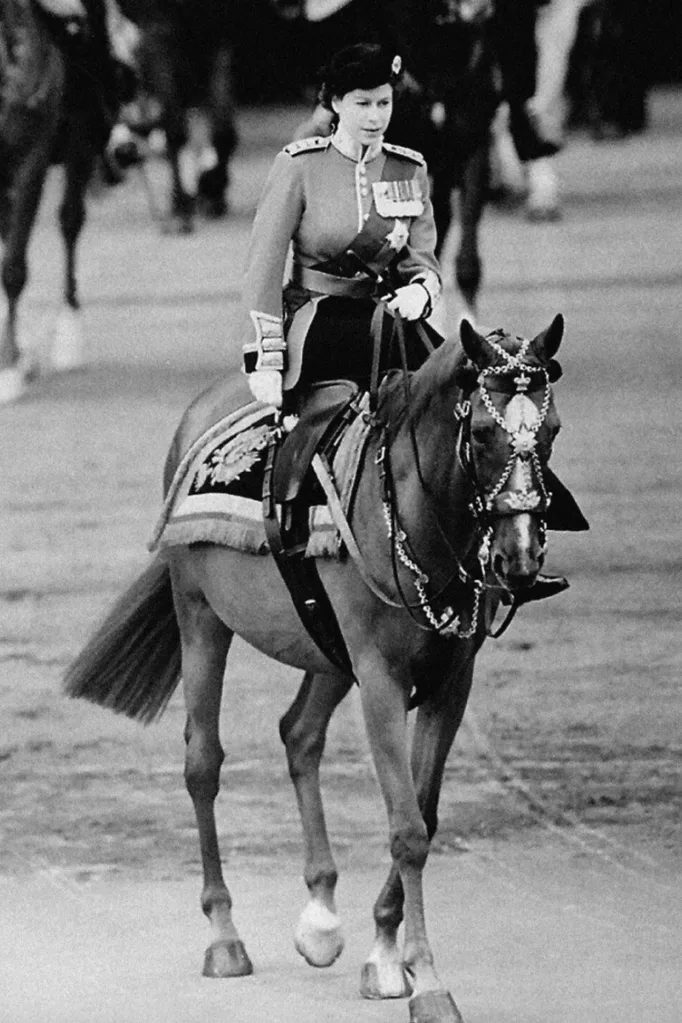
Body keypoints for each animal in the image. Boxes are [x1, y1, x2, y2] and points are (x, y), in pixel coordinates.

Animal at [63, 313, 568, 1023]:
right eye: (484, 432)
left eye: (551, 431)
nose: (519, 558)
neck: (413, 511)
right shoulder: (381, 677)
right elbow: (407, 827)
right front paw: (426, 979)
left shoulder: (451, 680)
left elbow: (425, 812)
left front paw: (384, 951)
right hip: (201, 616)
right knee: (202, 763)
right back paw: (224, 936)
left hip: (328, 649)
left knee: (299, 734)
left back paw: (321, 918)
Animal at [120, 0, 240, 234]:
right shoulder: (159, 35)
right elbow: (174, 130)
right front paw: (180, 209)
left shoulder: (220, 37)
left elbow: (223, 130)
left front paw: (213, 190)